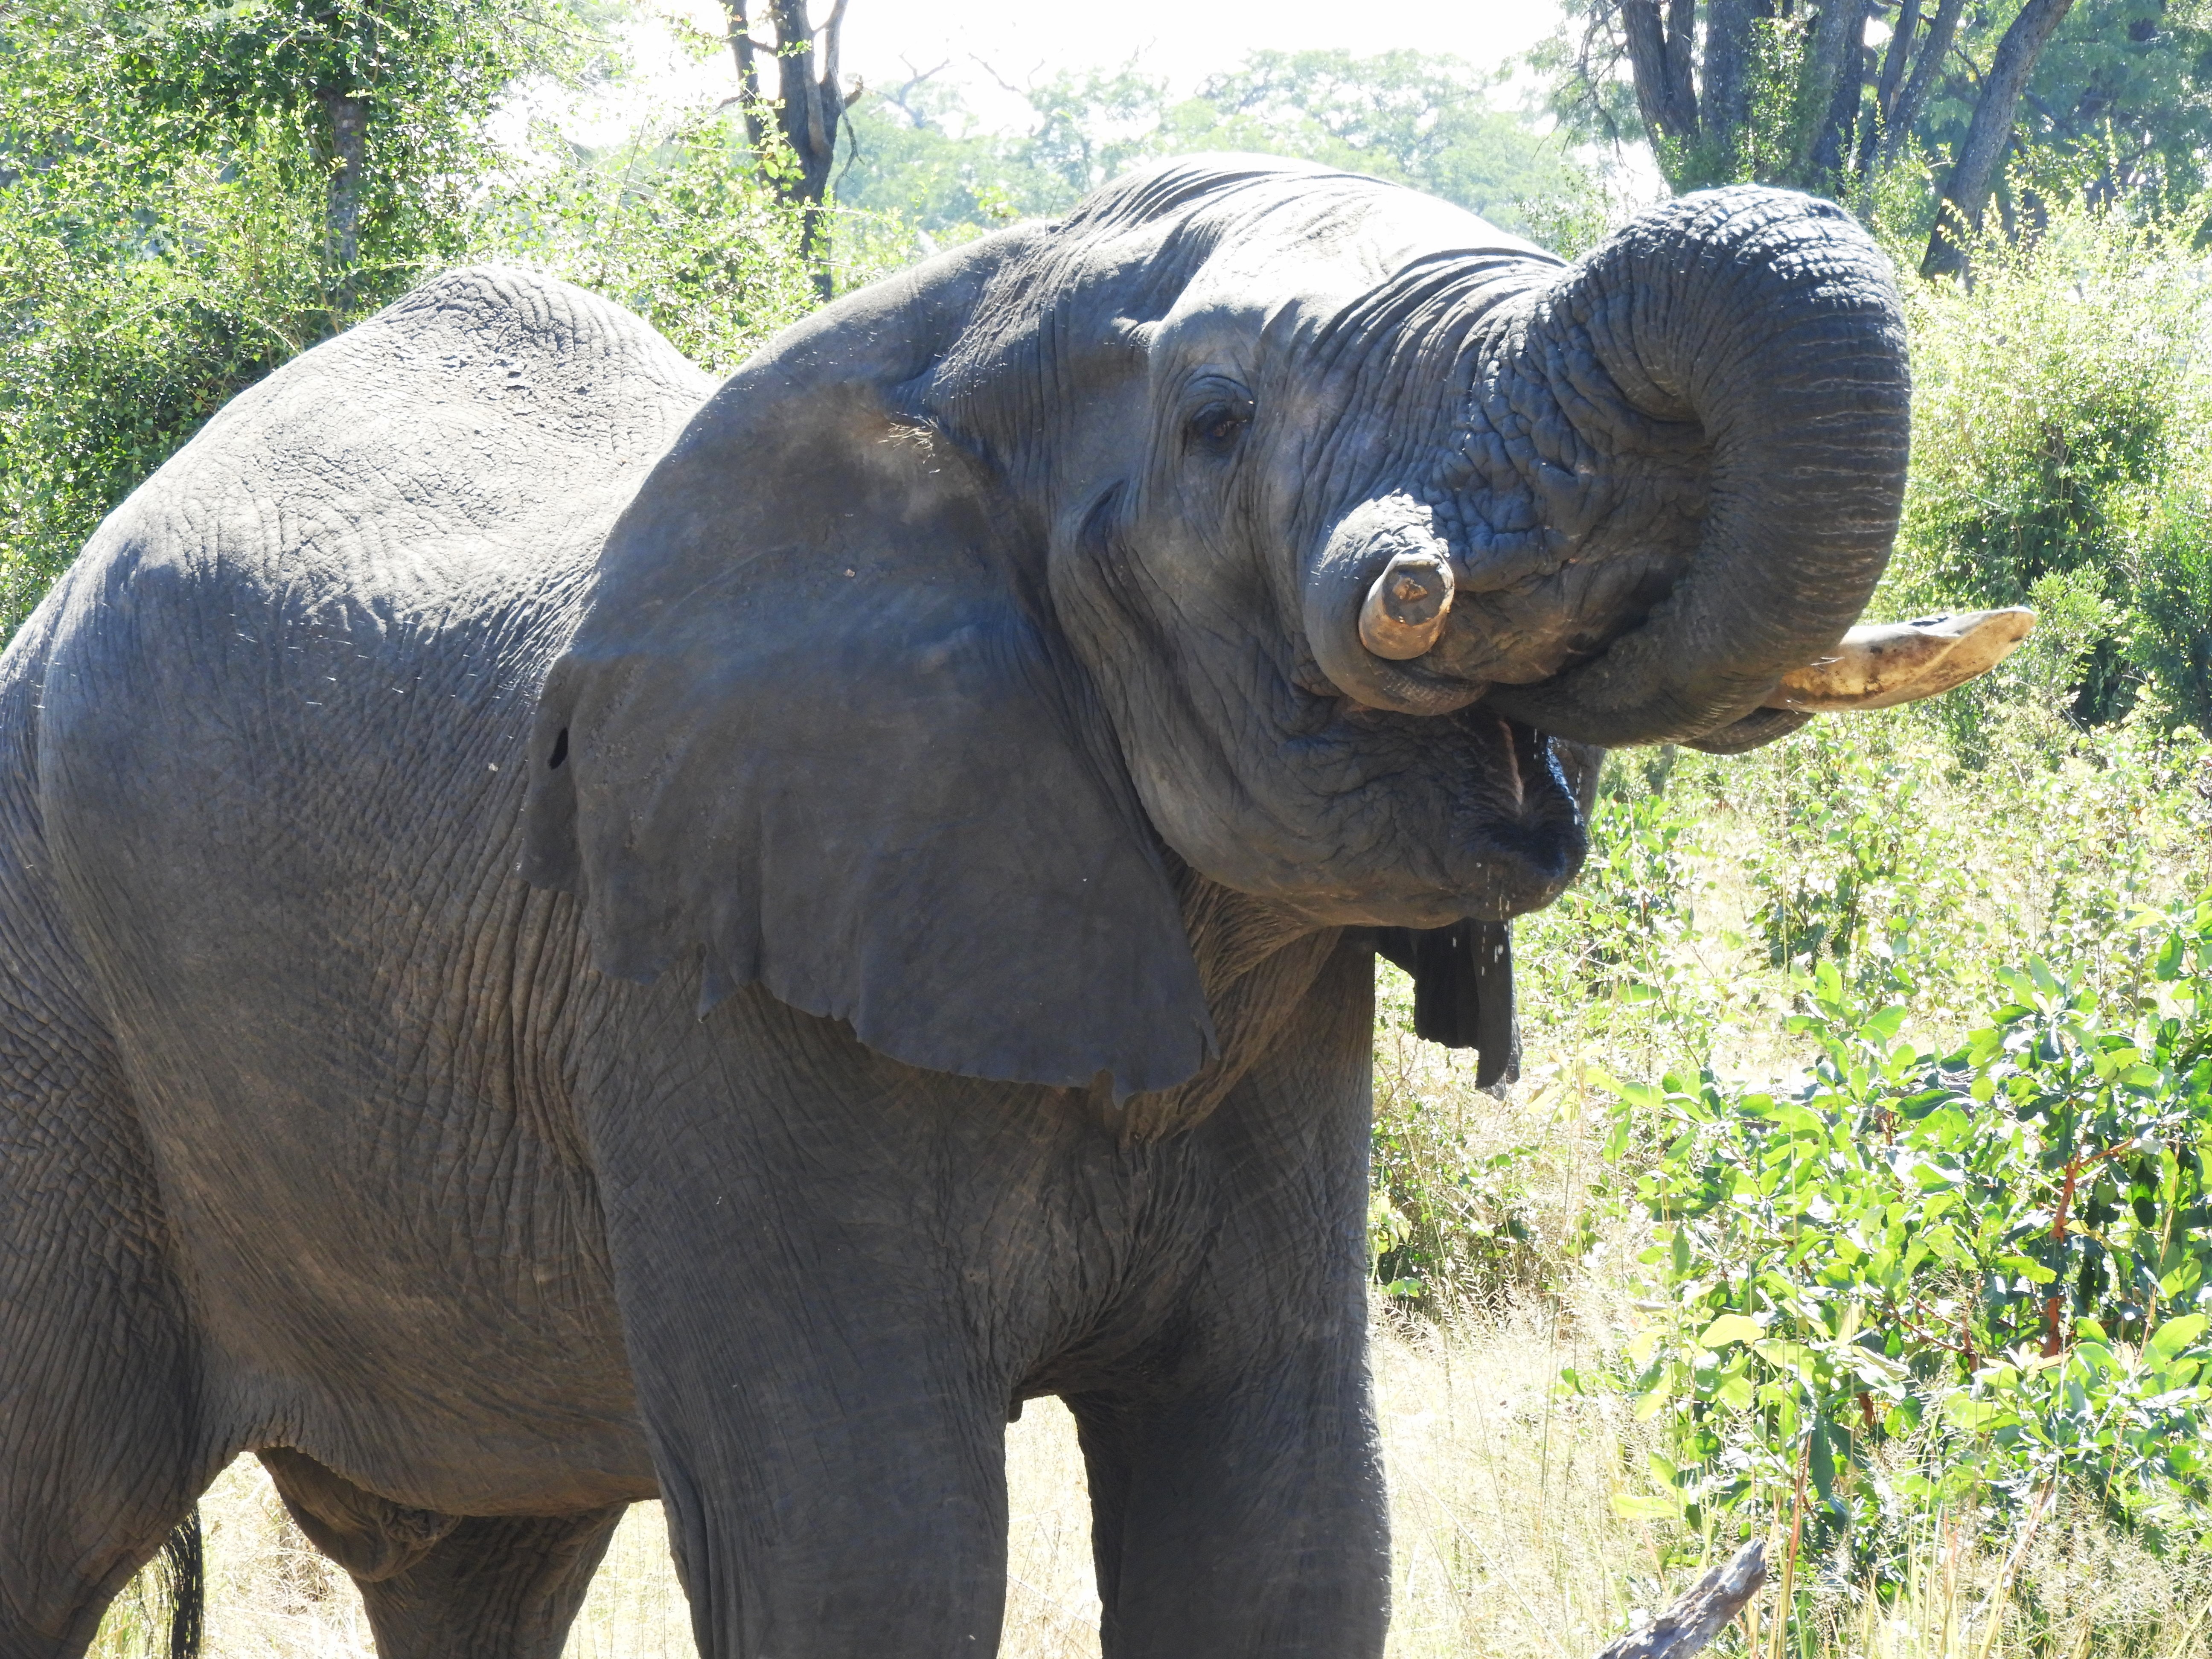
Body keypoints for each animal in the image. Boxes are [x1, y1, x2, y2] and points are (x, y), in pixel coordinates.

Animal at [0, 155, 2020, 1659]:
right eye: (1218, 421)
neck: (963, 333)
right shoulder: (707, 986)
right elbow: (868, 1547)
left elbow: (1279, 1526)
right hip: (58, 1014)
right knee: (58, 1508)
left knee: (477, 1565)